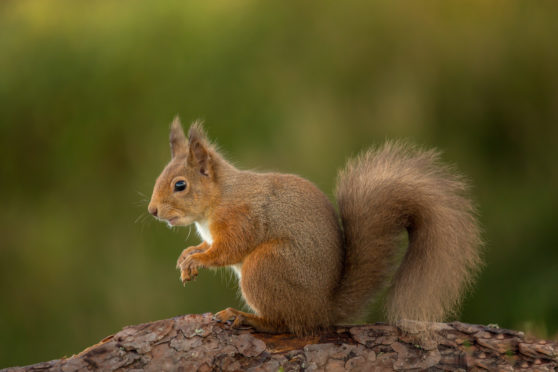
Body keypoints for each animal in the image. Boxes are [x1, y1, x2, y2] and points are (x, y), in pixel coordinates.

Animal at [149, 117, 486, 334]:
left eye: (180, 185)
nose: (153, 211)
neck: (219, 198)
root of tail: (323, 310)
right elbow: (208, 245)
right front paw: (187, 255)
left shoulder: (243, 218)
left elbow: (227, 250)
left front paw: (196, 260)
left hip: (265, 267)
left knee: (286, 324)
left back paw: (248, 318)